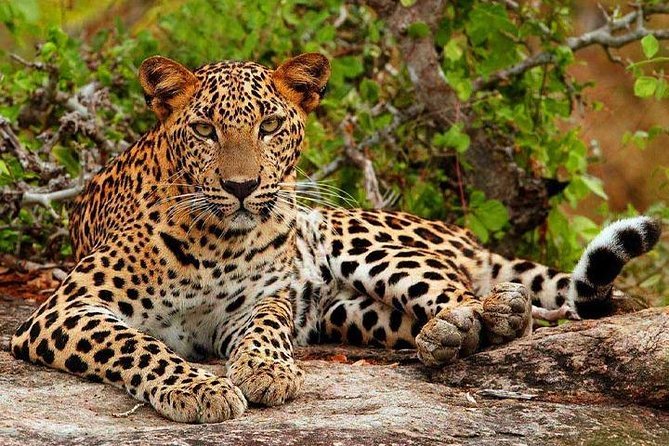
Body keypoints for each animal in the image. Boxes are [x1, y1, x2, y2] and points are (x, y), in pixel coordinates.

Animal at [11, 53, 662, 423]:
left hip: (357, 238)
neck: (217, 241)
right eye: (205, 130)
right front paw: (199, 388)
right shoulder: (63, 309)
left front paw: (264, 371)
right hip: (348, 313)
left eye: (270, 125)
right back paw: (448, 336)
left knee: (470, 293)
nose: (243, 186)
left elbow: (266, 327)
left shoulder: (259, 300)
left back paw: (483, 316)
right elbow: (137, 345)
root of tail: (460, 232)